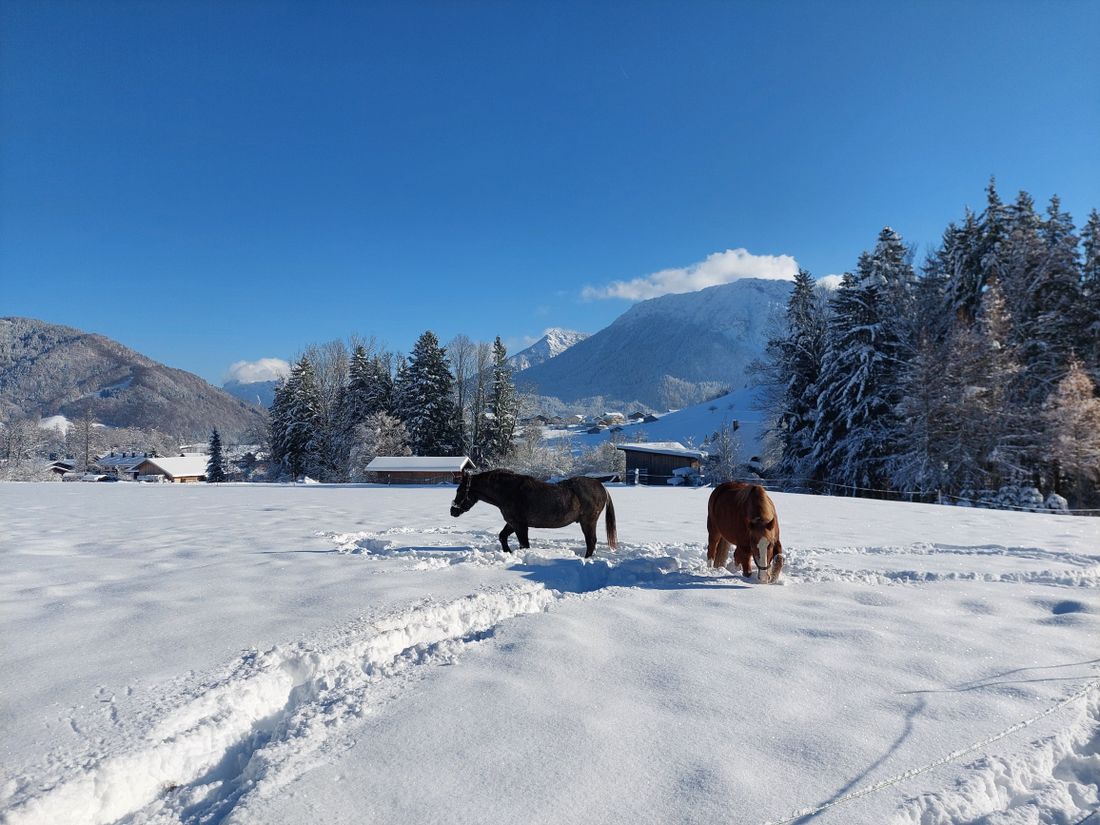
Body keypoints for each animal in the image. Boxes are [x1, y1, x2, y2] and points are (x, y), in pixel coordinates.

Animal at [450, 469, 618, 558]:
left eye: (460, 491)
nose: (453, 511)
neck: (508, 491)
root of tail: (601, 486)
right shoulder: (512, 523)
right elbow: (502, 536)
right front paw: (508, 552)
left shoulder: (520, 525)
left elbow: (524, 544)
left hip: (588, 522)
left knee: (591, 541)